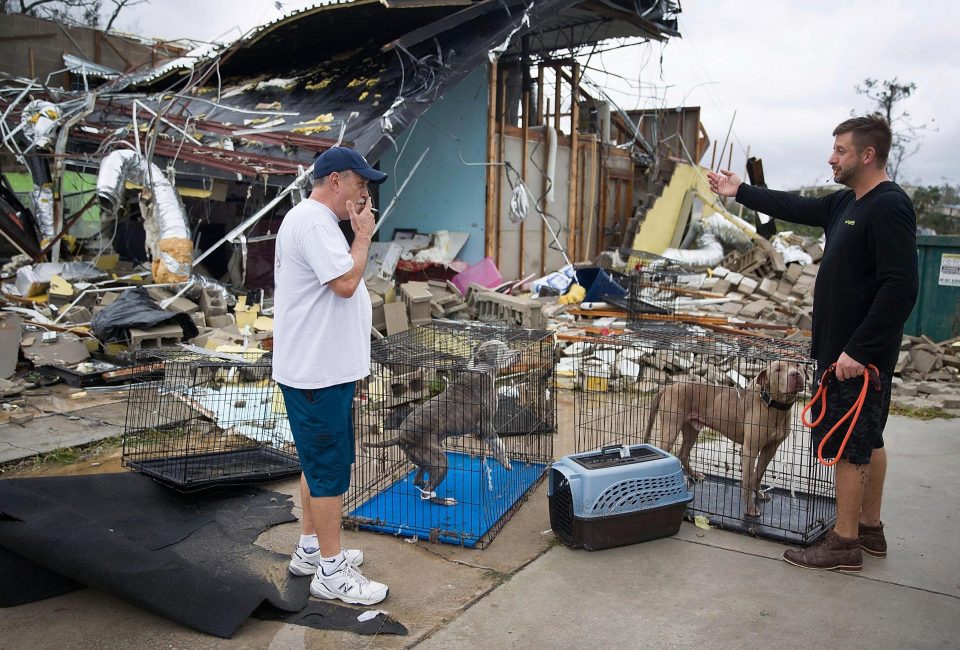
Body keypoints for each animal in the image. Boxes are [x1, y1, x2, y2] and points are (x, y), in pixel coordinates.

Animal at [362, 340, 516, 506]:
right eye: (502, 350)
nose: (518, 353)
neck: (480, 371)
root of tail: (400, 436)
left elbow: (495, 447)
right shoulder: (486, 425)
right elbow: (500, 445)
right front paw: (506, 462)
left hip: (425, 459)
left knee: (418, 481)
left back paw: (424, 484)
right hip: (440, 461)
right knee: (426, 493)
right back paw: (445, 501)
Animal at [640, 356, 808, 512]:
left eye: (798, 365)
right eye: (778, 369)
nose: (795, 374)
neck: (775, 406)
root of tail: (669, 388)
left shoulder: (771, 448)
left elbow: (758, 474)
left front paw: (759, 493)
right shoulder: (750, 450)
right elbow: (747, 480)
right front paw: (750, 509)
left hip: (692, 430)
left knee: (683, 455)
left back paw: (694, 475)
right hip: (671, 429)